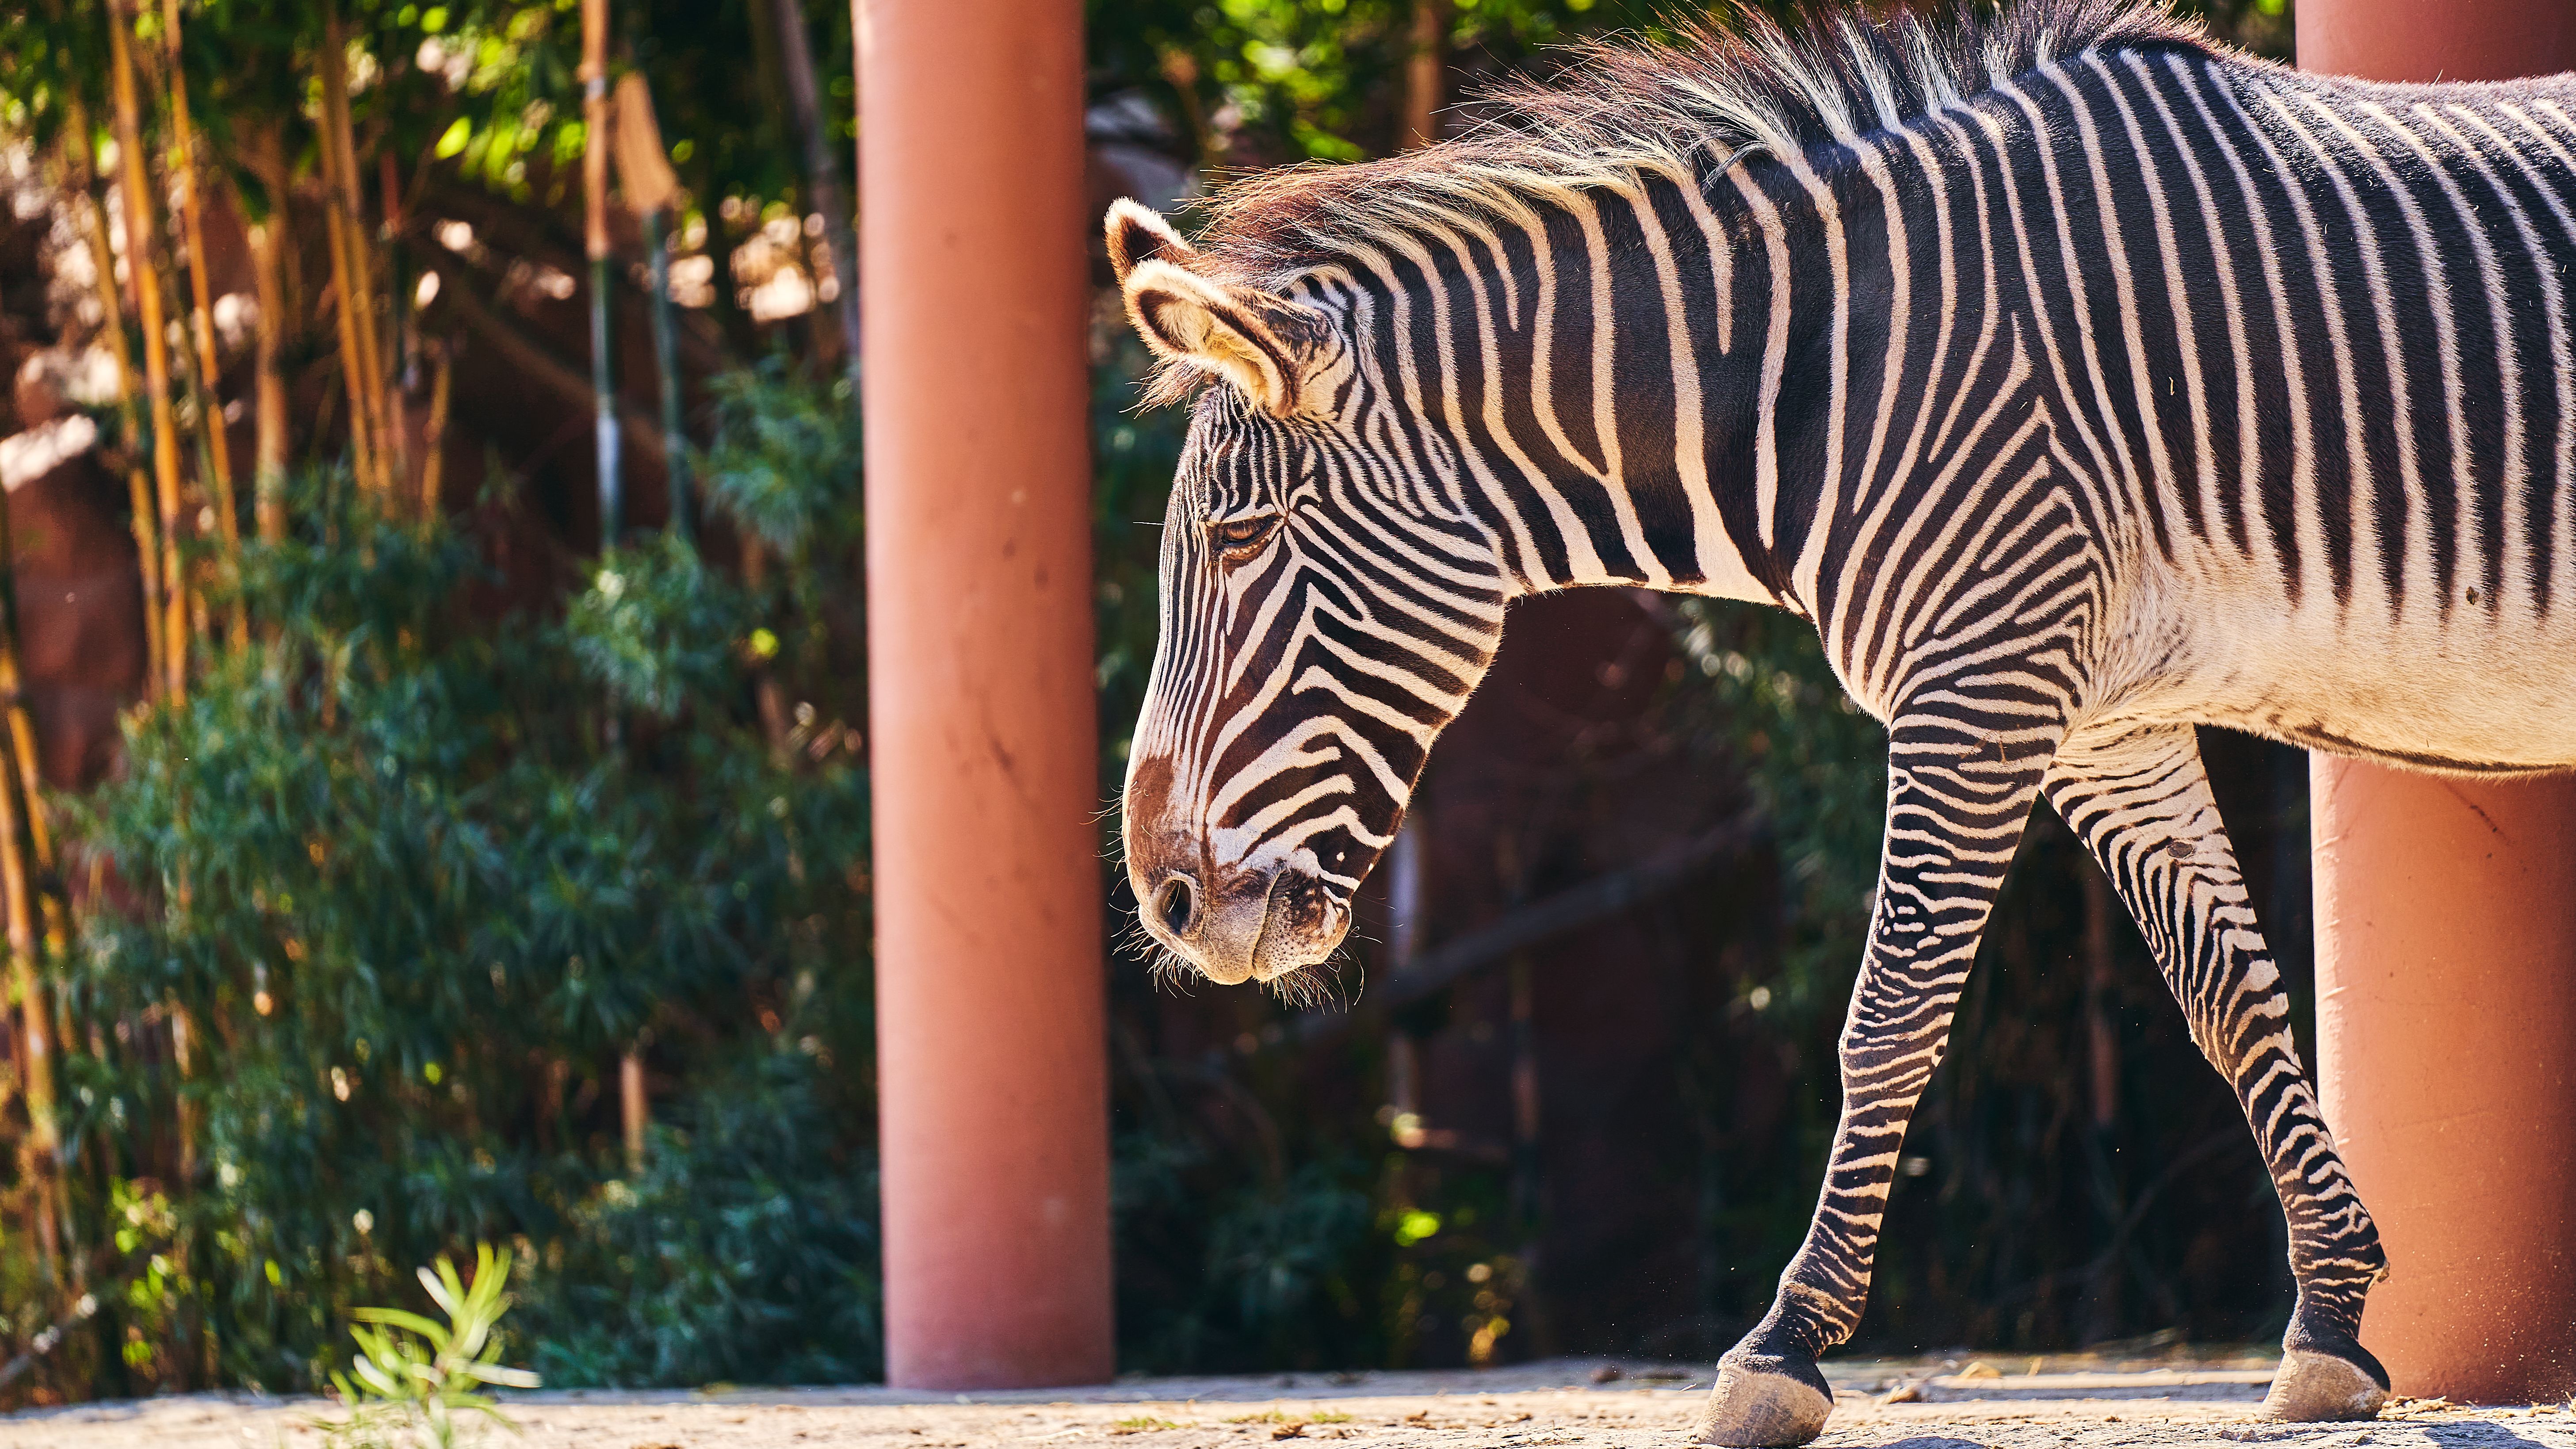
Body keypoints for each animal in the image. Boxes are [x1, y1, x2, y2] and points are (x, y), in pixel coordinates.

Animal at [1109, 0, 2576, 1440]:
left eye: (1239, 539)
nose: (1167, 905)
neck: (1820, 376)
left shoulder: (1979, 683)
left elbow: (1889, 1019)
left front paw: (1781, 1348)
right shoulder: (2106, 722)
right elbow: (2231, 1000)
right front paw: (2329, 1323)